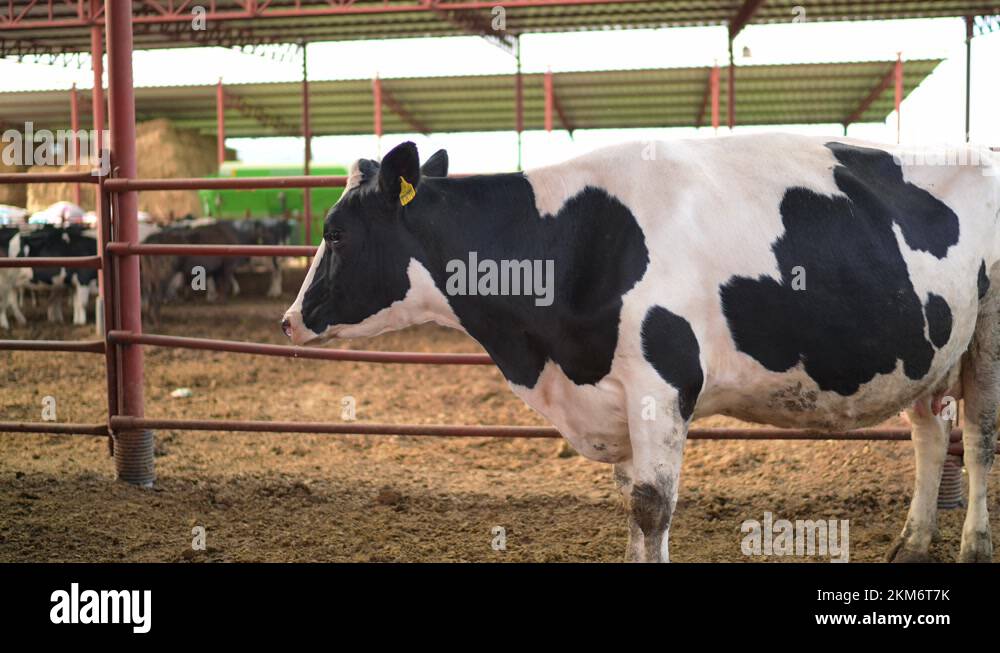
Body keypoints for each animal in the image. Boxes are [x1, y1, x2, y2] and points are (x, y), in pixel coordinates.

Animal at [282, 137, 1000, 563]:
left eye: (336, 232)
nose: (290, 320)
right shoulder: (615, 399)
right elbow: (632, 503)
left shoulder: (662, 383)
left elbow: (652, 506)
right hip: (926, 347)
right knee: (929, 432)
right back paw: (913, 542)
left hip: (988, 332)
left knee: (977, 436)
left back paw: (974, 542)